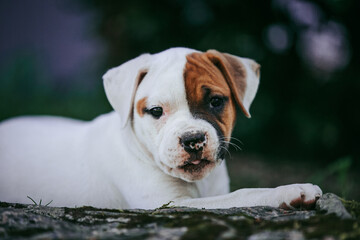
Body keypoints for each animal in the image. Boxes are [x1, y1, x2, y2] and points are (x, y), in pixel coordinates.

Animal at [0, 47, 322, 209]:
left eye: (216, 101)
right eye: (156, 111)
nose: (193, 139)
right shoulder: (169, 204)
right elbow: (241, 195)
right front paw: (290, 191)